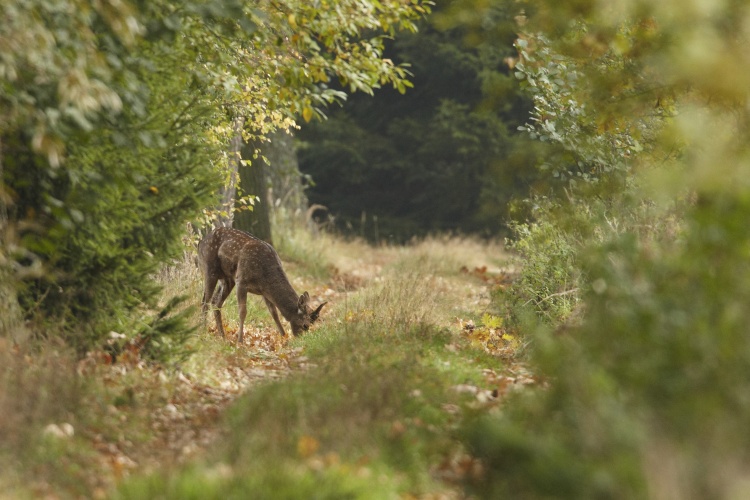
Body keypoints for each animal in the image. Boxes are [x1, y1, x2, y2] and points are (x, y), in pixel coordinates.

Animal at [198, 228, 328, 342]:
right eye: (305, 325)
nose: (301, 340)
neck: (265, 276)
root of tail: (201, 242)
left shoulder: (264, 291)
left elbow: (274, 313)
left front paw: (284, 338)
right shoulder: (241, 281)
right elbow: (243, 312)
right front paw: (240, 341)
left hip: (227, 279)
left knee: (216, 302)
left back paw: (222, 336)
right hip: (210, 269)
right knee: (205, 301)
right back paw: (204, 330)